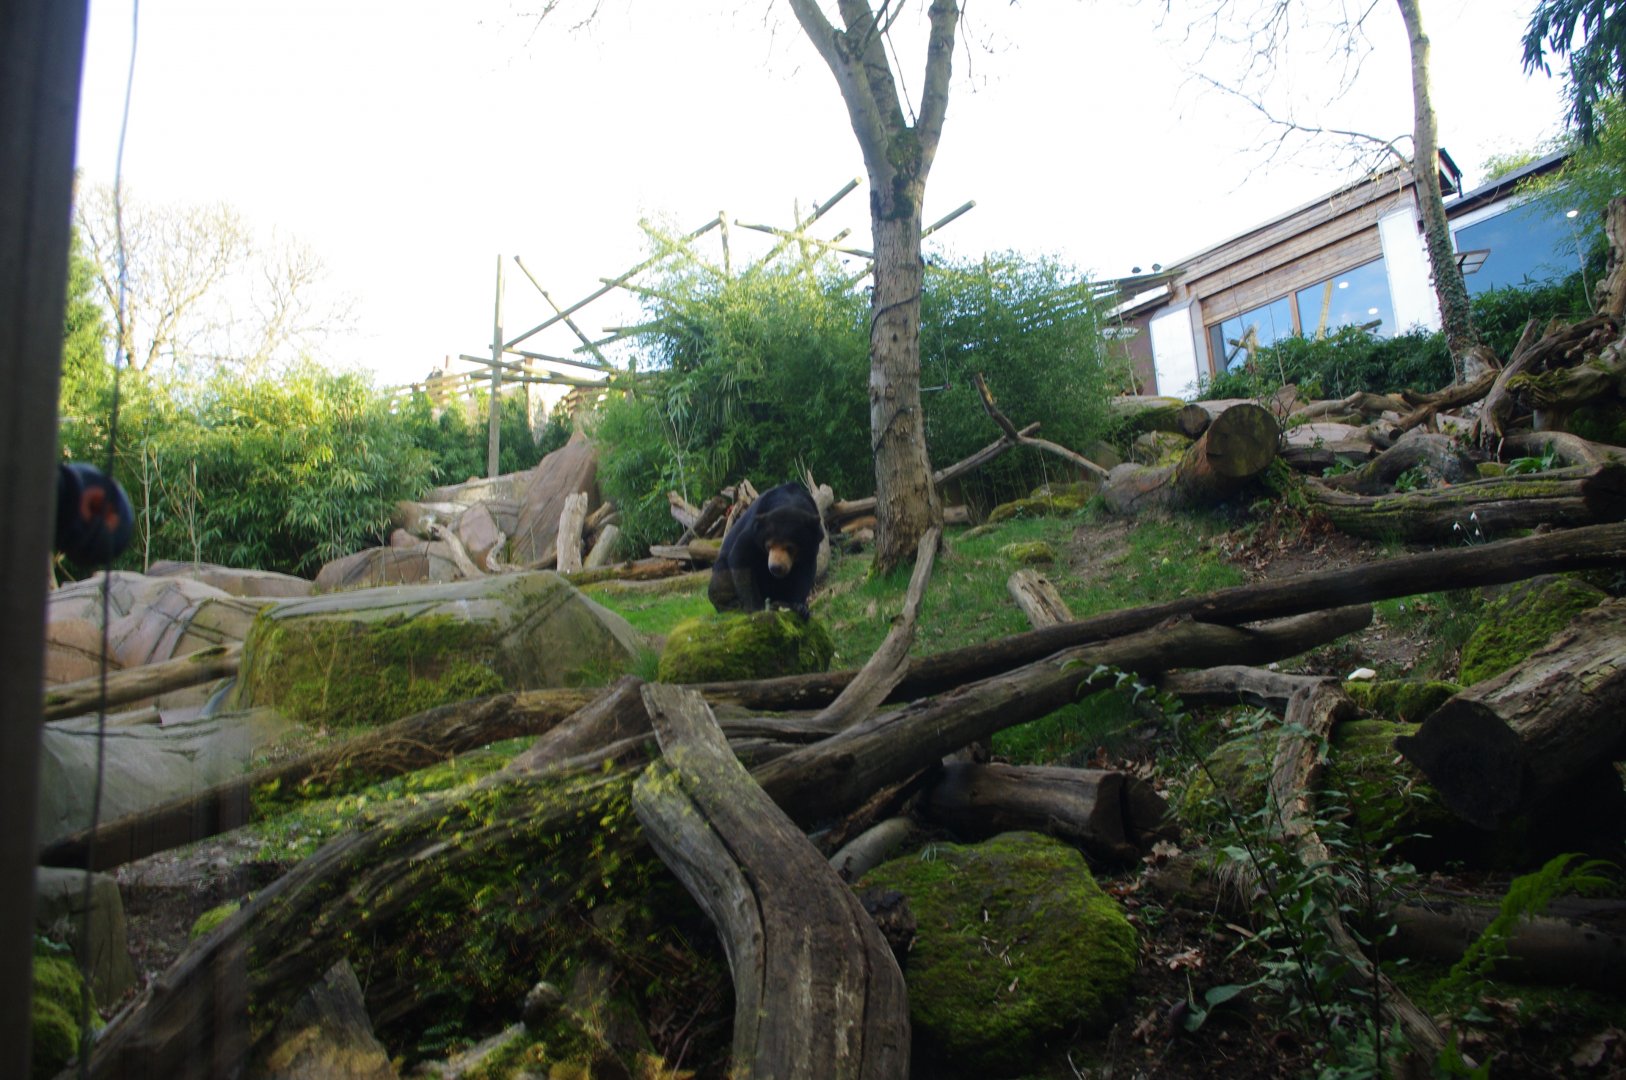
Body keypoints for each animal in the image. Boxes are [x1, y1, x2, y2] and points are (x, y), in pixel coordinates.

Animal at [708, 482, 824, 619]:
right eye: (769, 546)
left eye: (790, 548)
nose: (776, 568)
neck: (789, 501)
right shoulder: (754, 530)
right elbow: (740, 556)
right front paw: (756, 608)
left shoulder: (812, 543)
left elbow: (805, 572)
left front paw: (800, 607)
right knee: (721, 579)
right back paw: (732, 604)